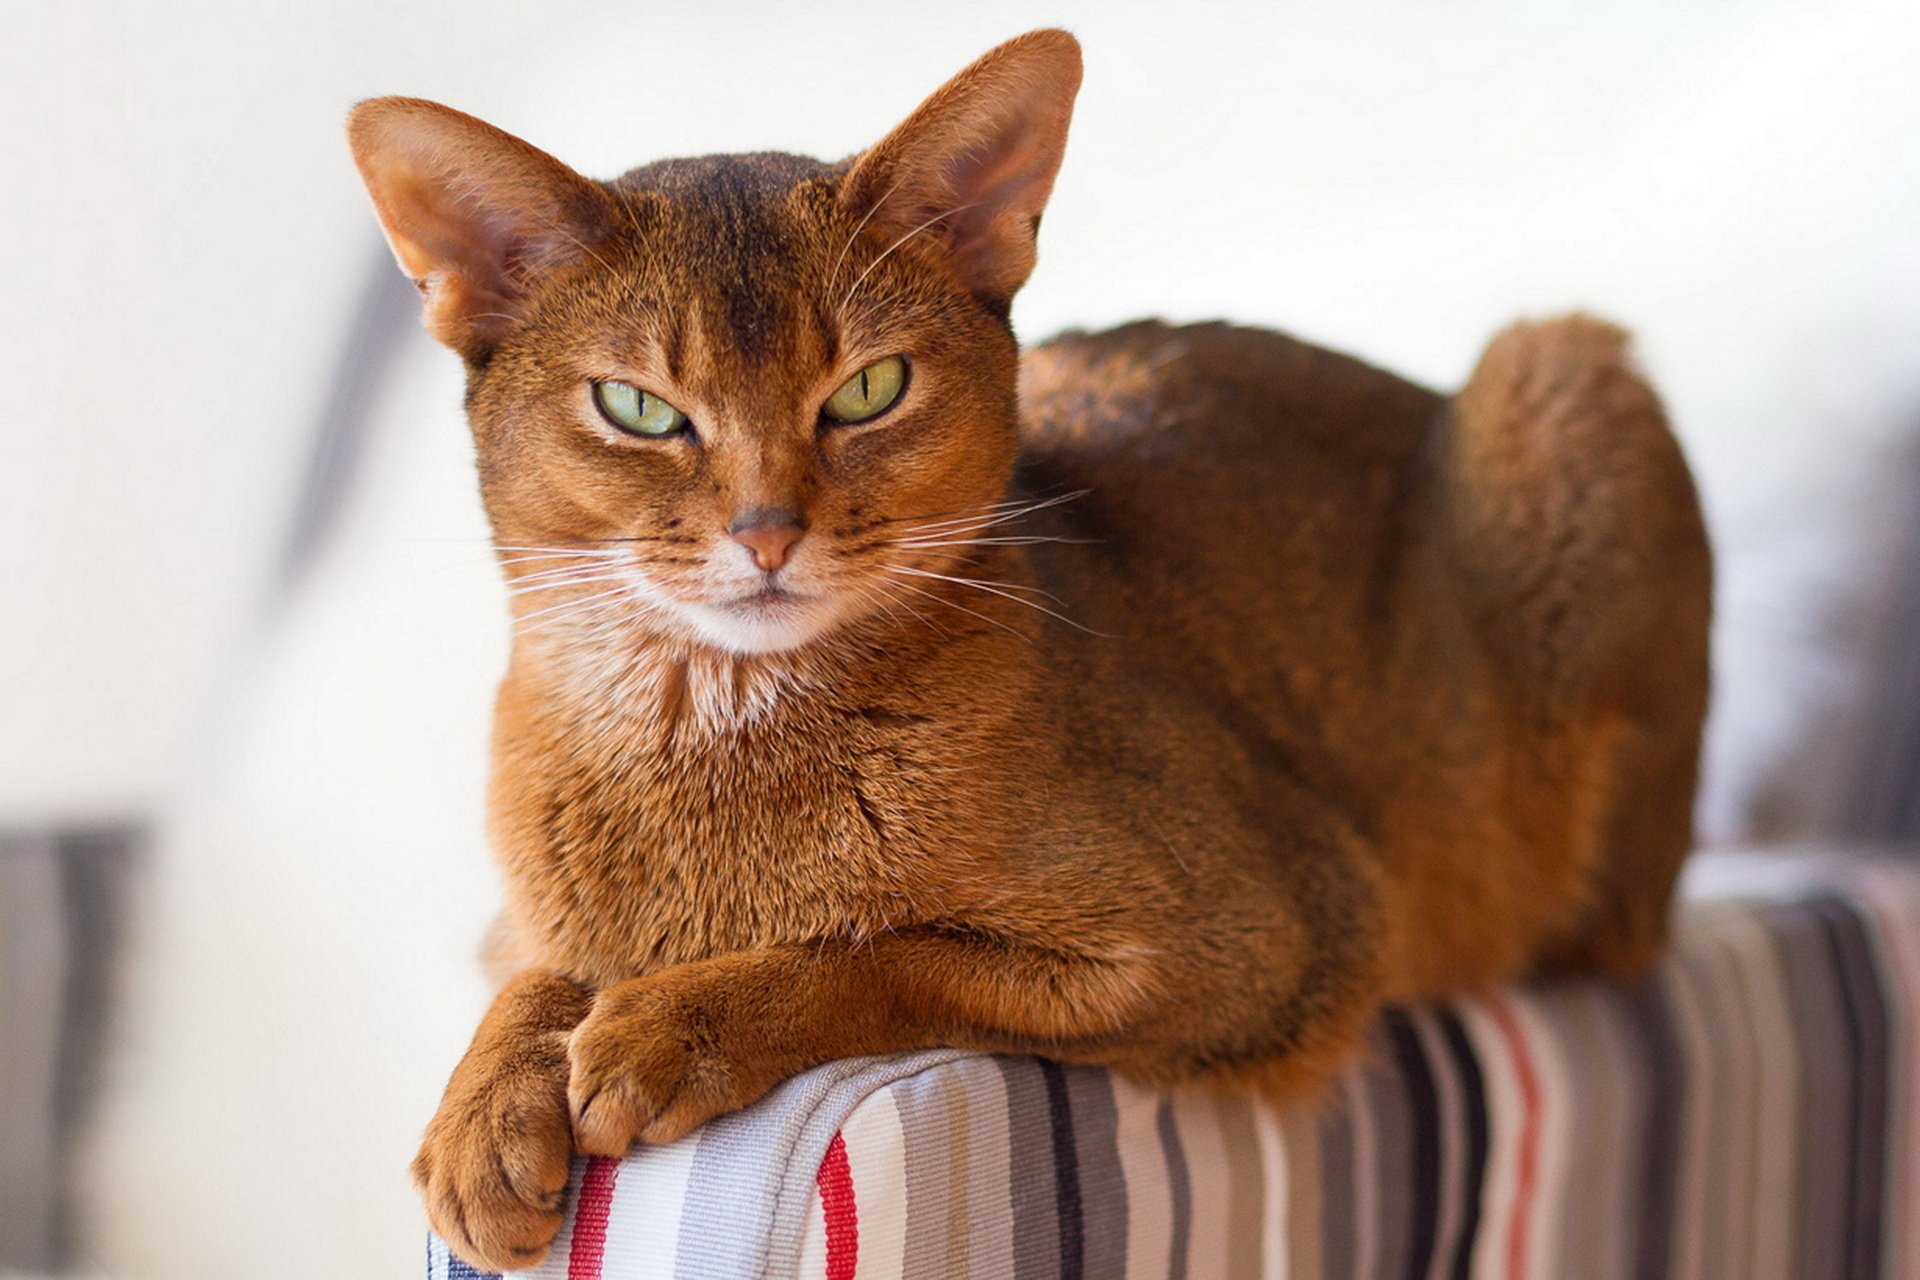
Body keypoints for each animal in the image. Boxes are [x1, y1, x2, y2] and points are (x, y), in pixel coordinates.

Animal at [349, 22, 1712, 1274]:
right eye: (637, 408)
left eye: (869, 389)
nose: (767, 531)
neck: (709, 726)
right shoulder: (520, 918)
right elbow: (532, 968)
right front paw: (481, 1109)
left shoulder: (1269, 932)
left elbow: (881, 951)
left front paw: (668, 1023)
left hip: (1562, 378)